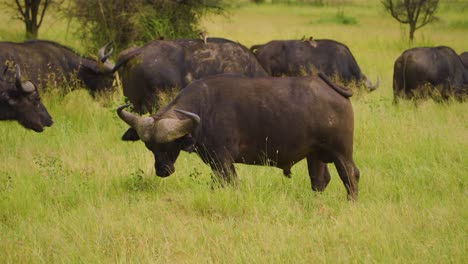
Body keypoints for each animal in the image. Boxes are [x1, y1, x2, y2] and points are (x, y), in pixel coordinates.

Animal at [119, 72, 360, 200]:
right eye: (150, 146)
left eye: (171, 144)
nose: (162, 170)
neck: (204, 109)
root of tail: (332, 88)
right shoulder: (215, 163)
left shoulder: (224, 161)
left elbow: (230, 183)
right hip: (315, 154)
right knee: (320, 180)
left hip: (341, 152)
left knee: (350, 175)